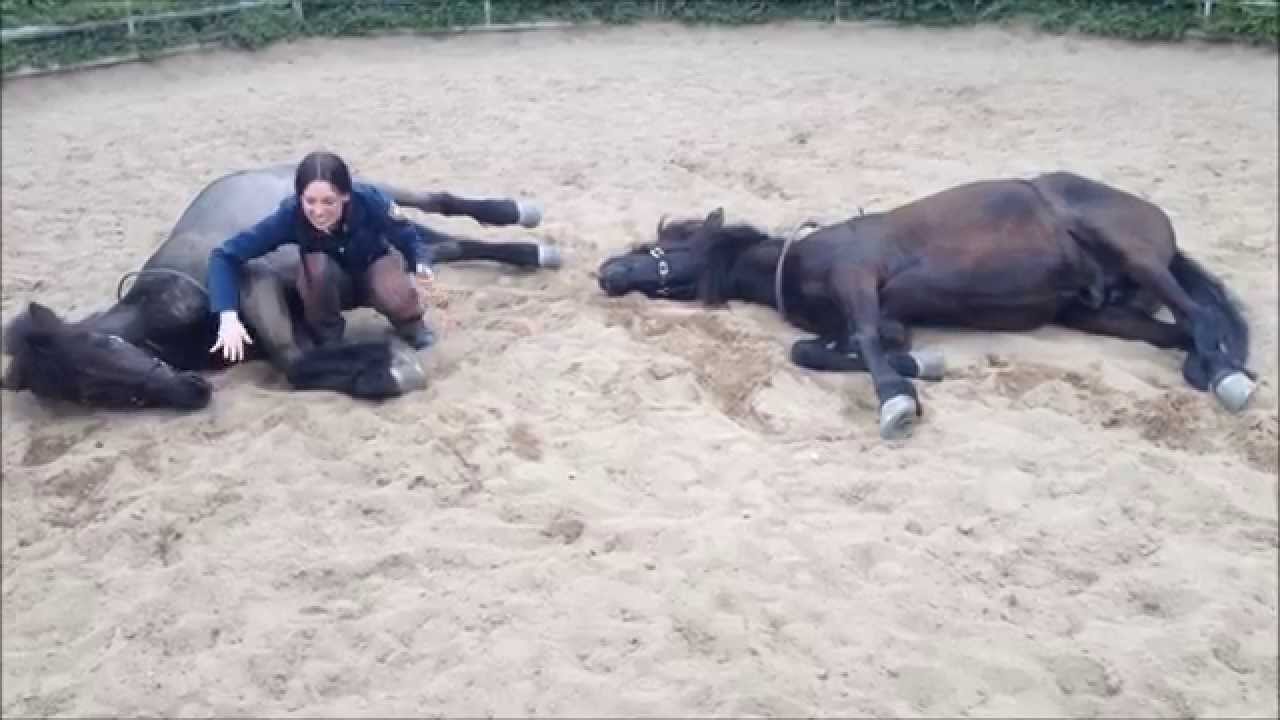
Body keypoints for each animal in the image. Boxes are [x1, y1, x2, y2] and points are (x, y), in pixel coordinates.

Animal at [1, 163, 562, 411]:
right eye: (89, 393)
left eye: (108, 343)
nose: (192, 393)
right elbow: (298, 363)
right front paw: (384, 367)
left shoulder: (257, 283)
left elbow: (292, 361)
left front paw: (394, 365)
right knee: (441, 245)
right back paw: (531, 253)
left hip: (376, 187)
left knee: (436, 201)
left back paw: (520, 215)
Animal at [596, 171, 1257, 440]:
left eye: (660, 246)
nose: (606, 272)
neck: (799, 261)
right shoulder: (887, 320)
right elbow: (820, 350)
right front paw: (922, 368)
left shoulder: (859, 282)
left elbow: (860, 344)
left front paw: (896, 400)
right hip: (1099, 313)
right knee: (1184, 333)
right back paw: (1218, 368)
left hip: (1133, 256)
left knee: (1198, 319)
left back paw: (1229, 381)